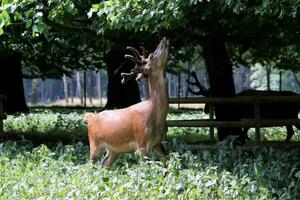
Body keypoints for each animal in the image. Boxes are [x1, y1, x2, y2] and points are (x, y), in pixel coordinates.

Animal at [84, 37, 170, 166]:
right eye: (152, 55)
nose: (164, 40)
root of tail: (90, 117)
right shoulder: (141, 143)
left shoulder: (157, 142)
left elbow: (168, 159)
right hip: (94, 143)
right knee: (90, 163)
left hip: (114, 150)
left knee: (104, 163)